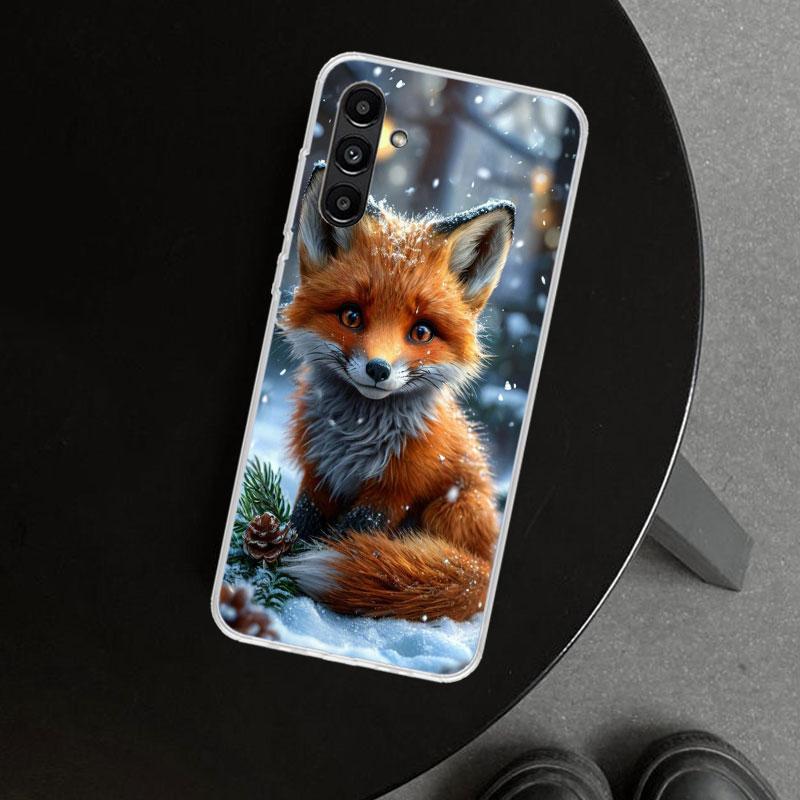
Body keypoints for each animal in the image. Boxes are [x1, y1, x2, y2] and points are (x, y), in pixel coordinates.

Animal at [279, 163, 515, 622]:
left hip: (453, 506)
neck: (355, 437)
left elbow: (345, 538)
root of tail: (488, 564)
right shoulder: (320, 472)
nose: (378, 369)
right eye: (351, 316)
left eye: (421, 331)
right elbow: (302, 521)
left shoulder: (394, 492)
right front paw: (274, 553)